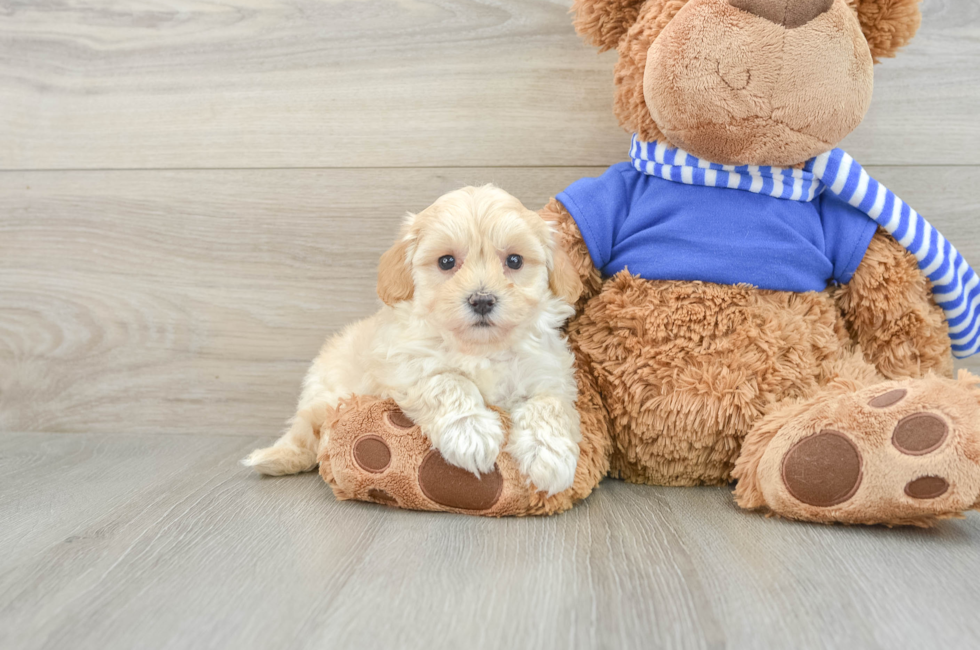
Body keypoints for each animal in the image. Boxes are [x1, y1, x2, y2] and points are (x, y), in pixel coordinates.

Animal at [242, 185, 584, 494]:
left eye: (514, 261)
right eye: (446, 262)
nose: (482, 300)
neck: (479, 347)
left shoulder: (548, 374)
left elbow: (549, 406)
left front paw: (550, 456)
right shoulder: (405, 365)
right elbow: (447, 381)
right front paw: (471, 433)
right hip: (324, 394)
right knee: (306, 432)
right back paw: (273, 457)